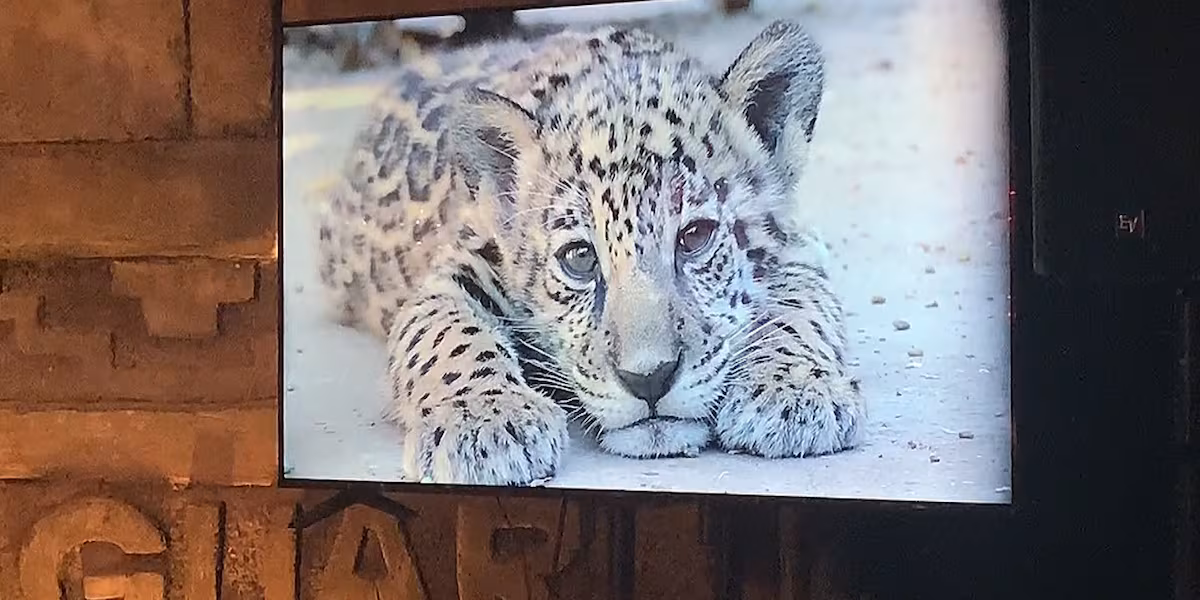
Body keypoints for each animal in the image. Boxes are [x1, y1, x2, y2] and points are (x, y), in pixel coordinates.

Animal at [314, 19, 866, 486]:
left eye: (695, 237)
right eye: (579, 258)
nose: (649, 379)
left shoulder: (796, 248)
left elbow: (801, 309)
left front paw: (795, 391)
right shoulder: (459, 268)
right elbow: (444, 333)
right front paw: (486, 421)